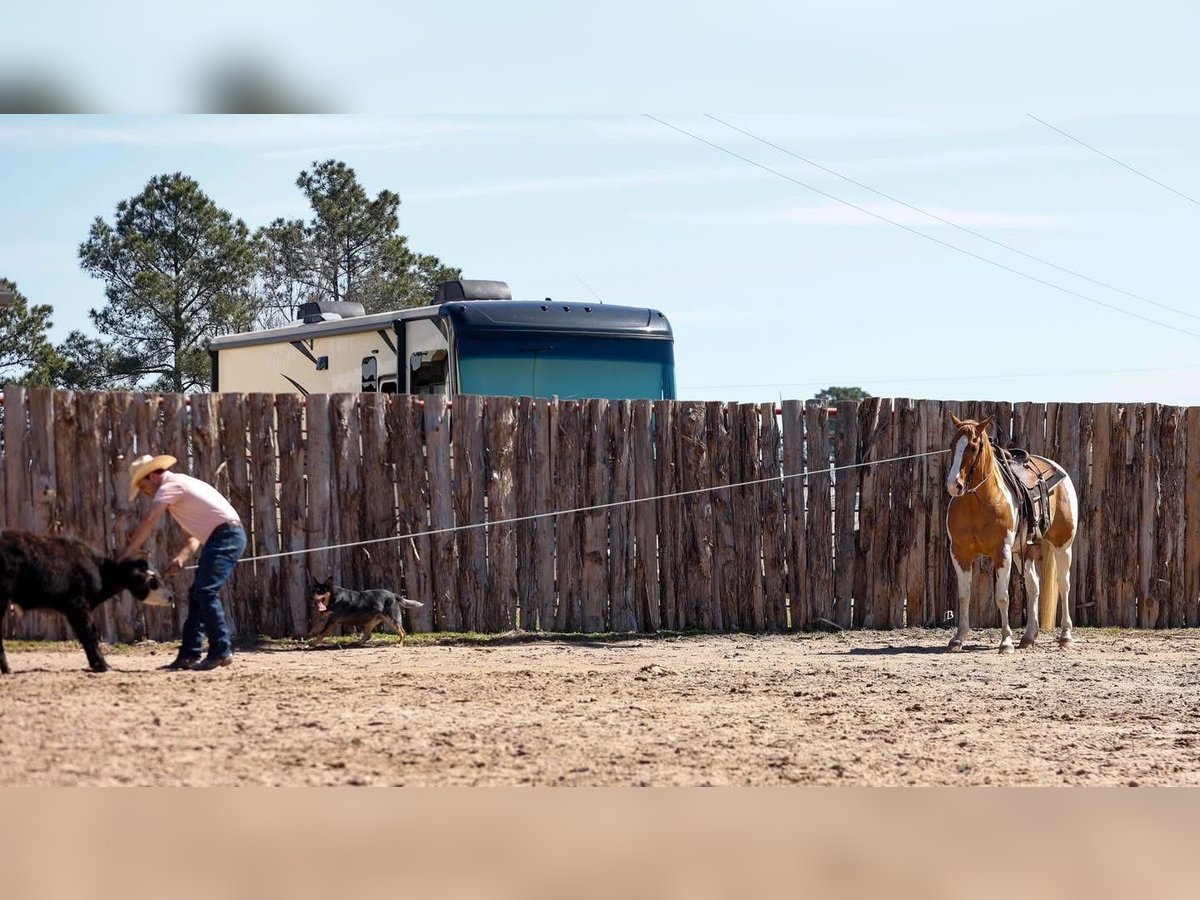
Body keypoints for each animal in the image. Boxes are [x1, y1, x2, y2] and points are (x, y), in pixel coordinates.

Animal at [940, 415, 1084, 657]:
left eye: (973, 446)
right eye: (952, 445)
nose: (953, 485)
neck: (977, 502)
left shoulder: (1002, 553)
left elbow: (1002, 597)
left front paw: (1006, 641)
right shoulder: (960, 553)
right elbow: (964, 596)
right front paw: (957, 639)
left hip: (1063, 545)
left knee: (1064, 586)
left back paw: (1065, 636)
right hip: (1022, 552)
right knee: (1034, 587)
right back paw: (1028, 637)